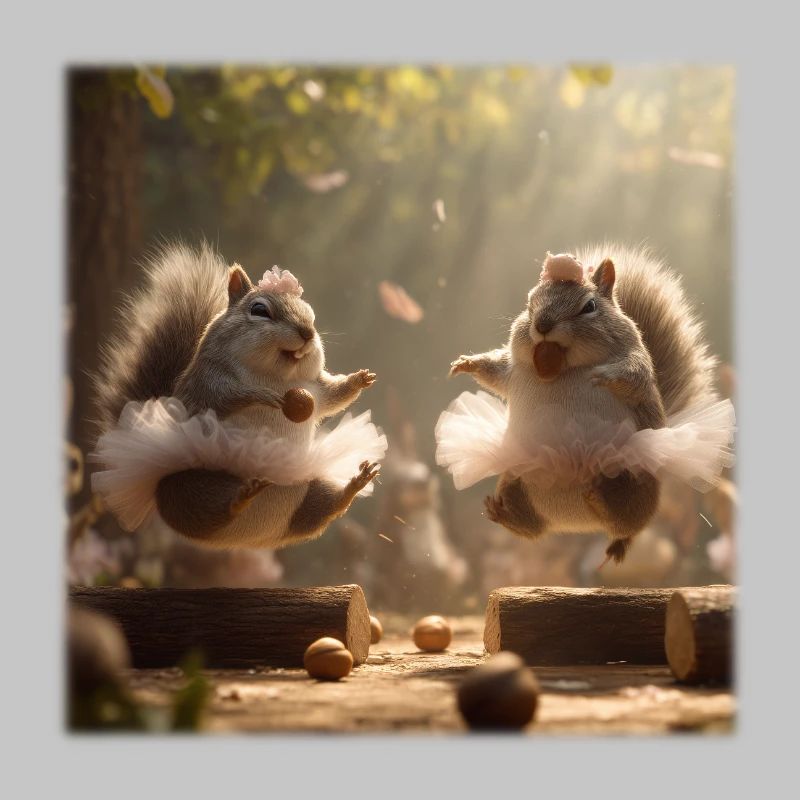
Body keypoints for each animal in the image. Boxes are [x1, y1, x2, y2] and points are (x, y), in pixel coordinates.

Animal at [93, 242, 381, 549]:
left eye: (311, 315)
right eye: (259, 310)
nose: (307, 332)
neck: (277, 377)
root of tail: (254, 537)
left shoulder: (316, 390)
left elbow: (334, 397)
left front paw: (359, 380)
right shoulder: (207, 385)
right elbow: (225, 399)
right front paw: (261, 394)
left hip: (309, 488)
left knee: (327, 506)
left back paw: (355, 483)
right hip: (197, 488)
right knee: (217, 509)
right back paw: (242, 498)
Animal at [447, 244, 721, 565]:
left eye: (589, 306)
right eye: (529, 304)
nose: (542, 325)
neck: (564, 367)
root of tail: (575, 523)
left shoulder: (637, 364)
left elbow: (630, 375)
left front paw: (602, 375)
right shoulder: (511, 371)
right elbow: (493, 371)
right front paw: (465, 364)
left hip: (630, 482)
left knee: (627, 526)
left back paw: (603, 510)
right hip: (516, 480)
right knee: (531, 528)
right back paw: (499, 511)